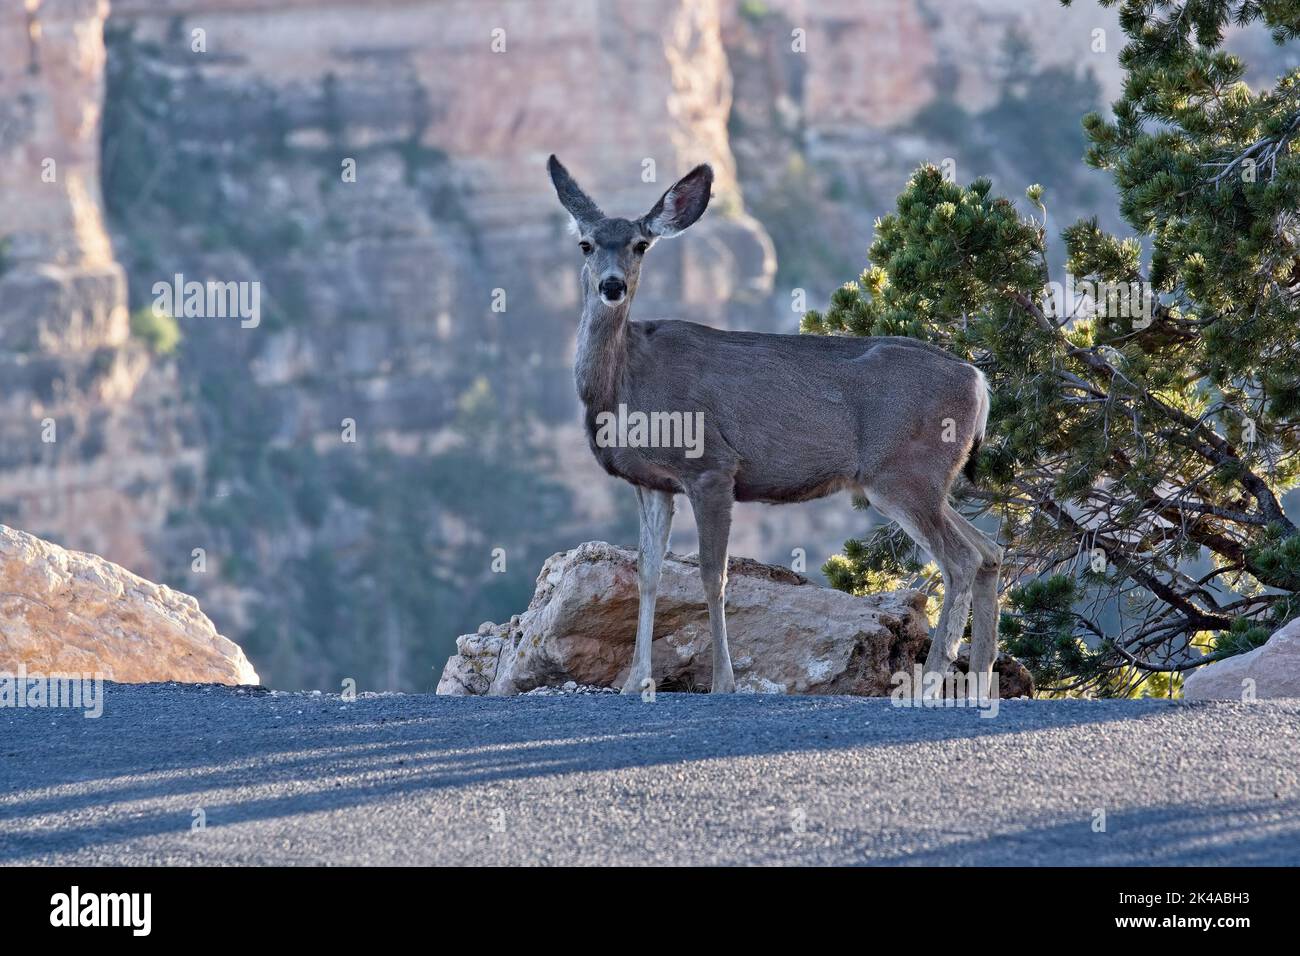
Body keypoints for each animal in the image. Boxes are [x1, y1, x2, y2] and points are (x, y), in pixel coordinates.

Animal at [548, 155, 1003, 697]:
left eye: (641, 244)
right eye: (586, 243)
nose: (612, 285)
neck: (624, 384)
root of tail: (978, 380)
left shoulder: (712, 465)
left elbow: (713, 575)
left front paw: (723, 681)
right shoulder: (653, 481)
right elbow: (648, 572)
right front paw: (636, 681)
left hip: (903, 474)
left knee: (961, 560)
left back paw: (929, 681)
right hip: (926, 479)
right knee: (990, 550)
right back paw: (979, 681)